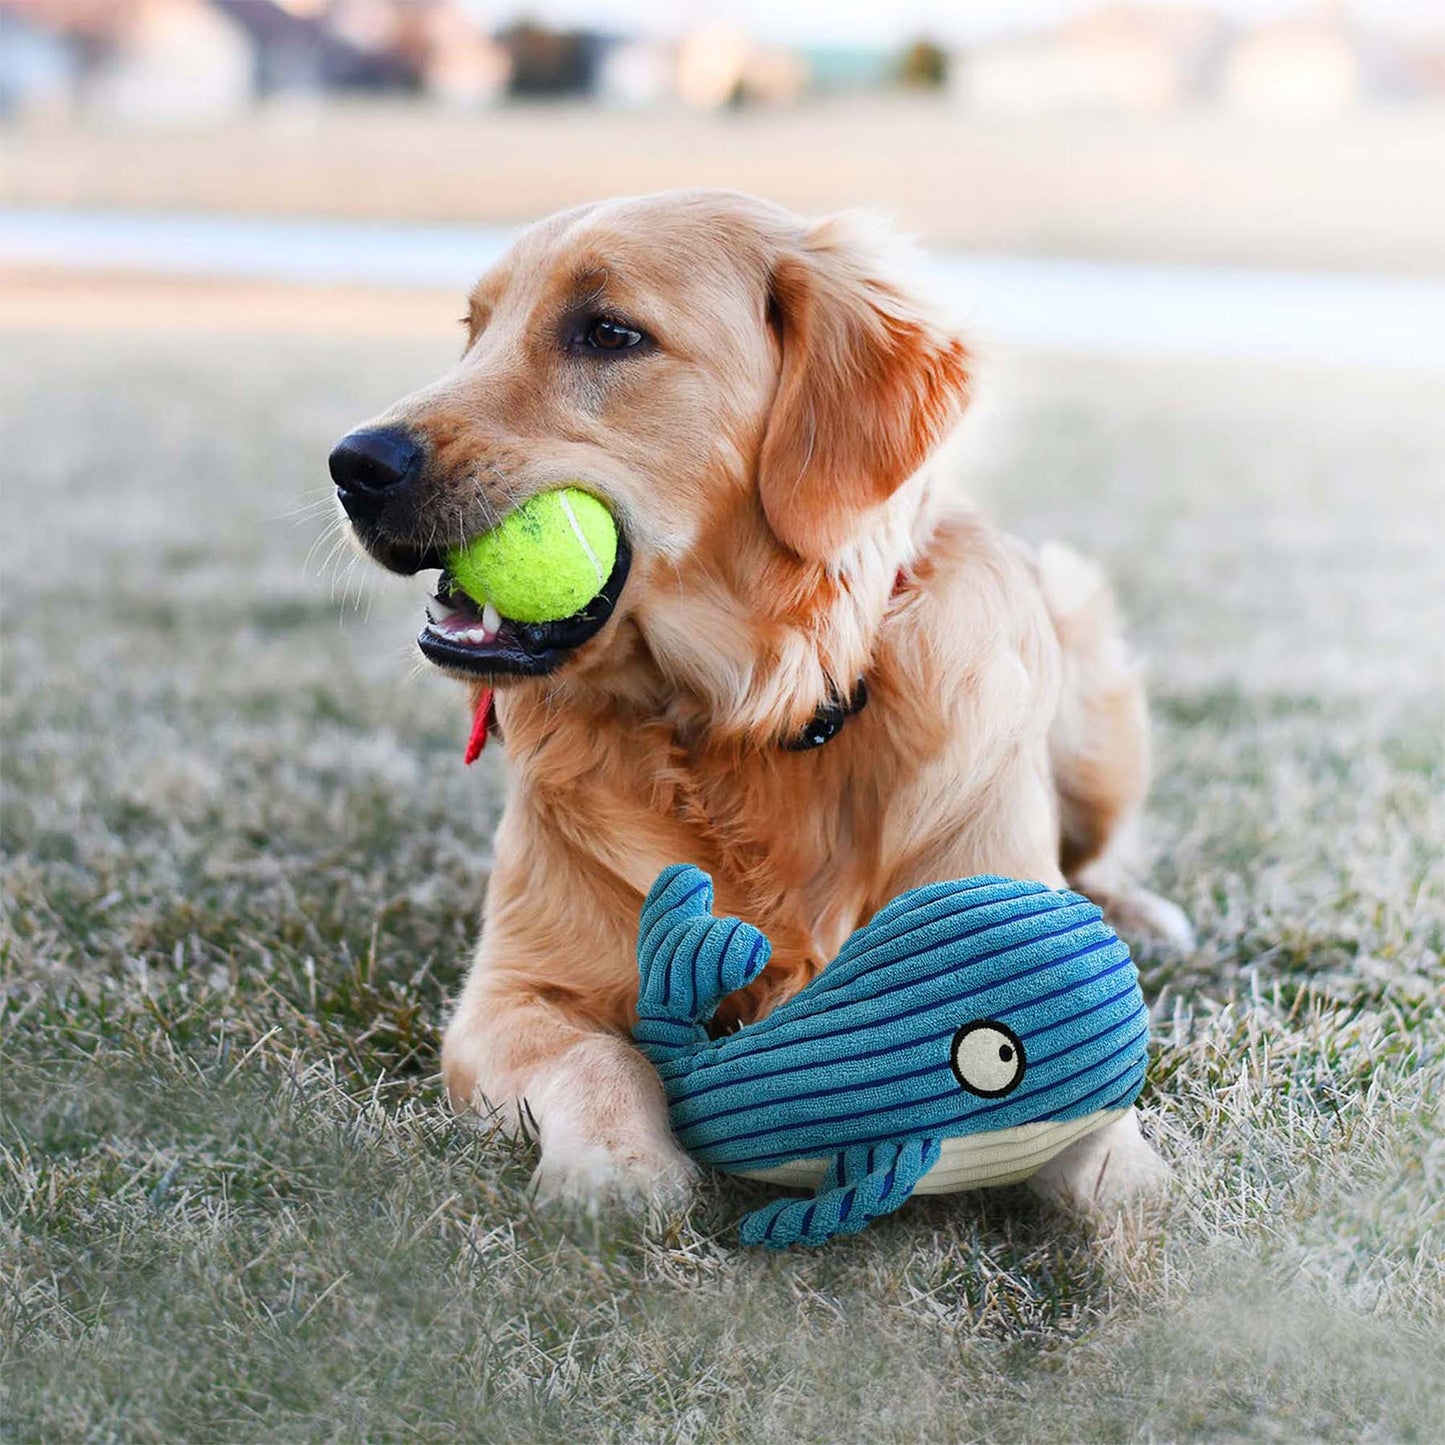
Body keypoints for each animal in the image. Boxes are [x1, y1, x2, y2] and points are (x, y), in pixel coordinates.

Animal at [332, 186, 1190, 1213]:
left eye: (607, 333)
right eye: (474, 329)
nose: (352, 464)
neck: (754, 718)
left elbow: (1104, 1136)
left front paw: (1137, 1204)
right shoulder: (511, 991)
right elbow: (599, 1060)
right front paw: (618, 1169)